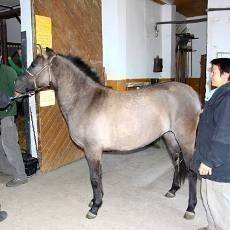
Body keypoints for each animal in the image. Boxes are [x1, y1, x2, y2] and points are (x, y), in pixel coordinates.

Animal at [14, 49, 201, 219]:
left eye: (34, 65)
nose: (16, 85)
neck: (86, 101)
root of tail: (192, 95)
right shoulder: (94, 151)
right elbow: (98, 176)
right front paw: (96, 200)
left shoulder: (92, 150)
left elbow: (94, 178)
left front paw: (95, 207)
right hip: (170, 137)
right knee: (176, 162)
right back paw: (173, 190)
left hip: (186, 141)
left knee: (191, 172)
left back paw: (191, 208)